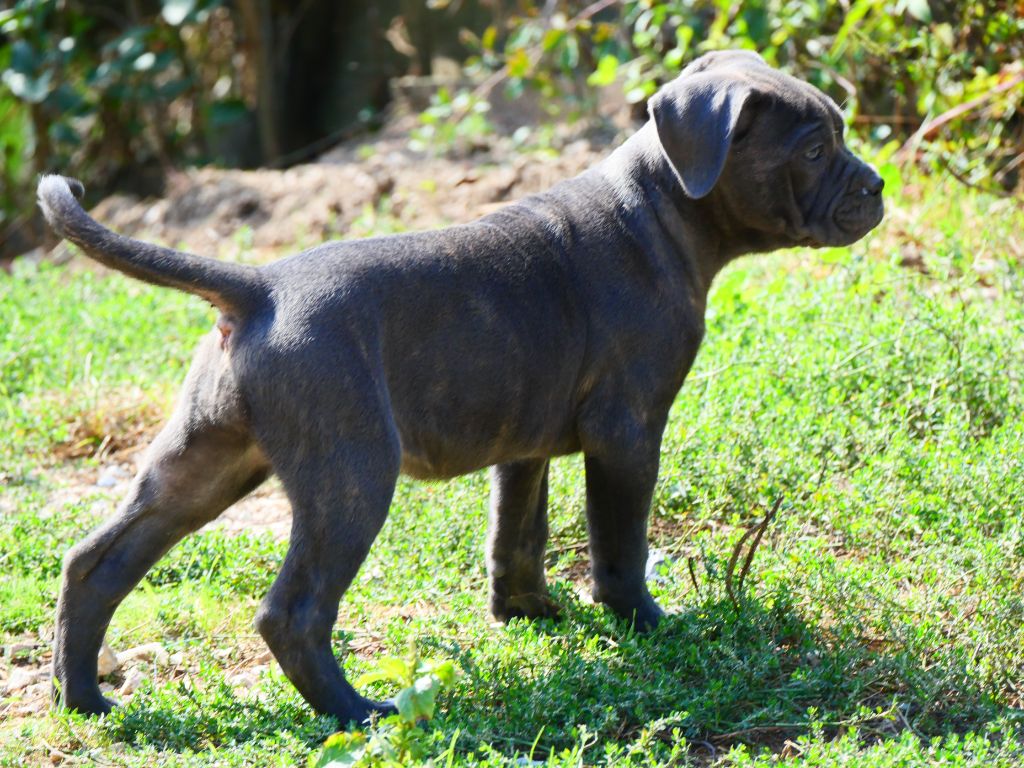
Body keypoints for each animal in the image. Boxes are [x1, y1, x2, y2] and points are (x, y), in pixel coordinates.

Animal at [36, 49, 884, 729]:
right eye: (815, 148)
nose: (877, 185)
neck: (660, 207)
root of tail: (259, 289)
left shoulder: (527, 442)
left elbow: (517, 535)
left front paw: (529, 614)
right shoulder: (627, 432)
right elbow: (619, 545)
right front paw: (645, 624)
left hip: (204, 461)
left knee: (96, 564)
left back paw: (84, 699)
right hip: (350, 477)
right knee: (292, 612)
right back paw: (356, 713)